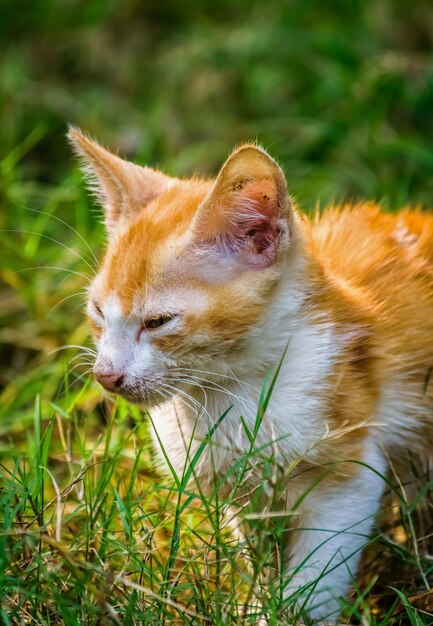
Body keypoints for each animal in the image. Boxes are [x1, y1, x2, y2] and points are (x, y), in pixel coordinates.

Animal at [67, 125, 432, 620]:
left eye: (158, 322)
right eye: (98, 312)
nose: (106, 375)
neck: (228, 393)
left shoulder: (350, 472)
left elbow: (318, 575)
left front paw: (293, 614)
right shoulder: (239, 491)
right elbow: (261, 559)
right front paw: (261, 604)